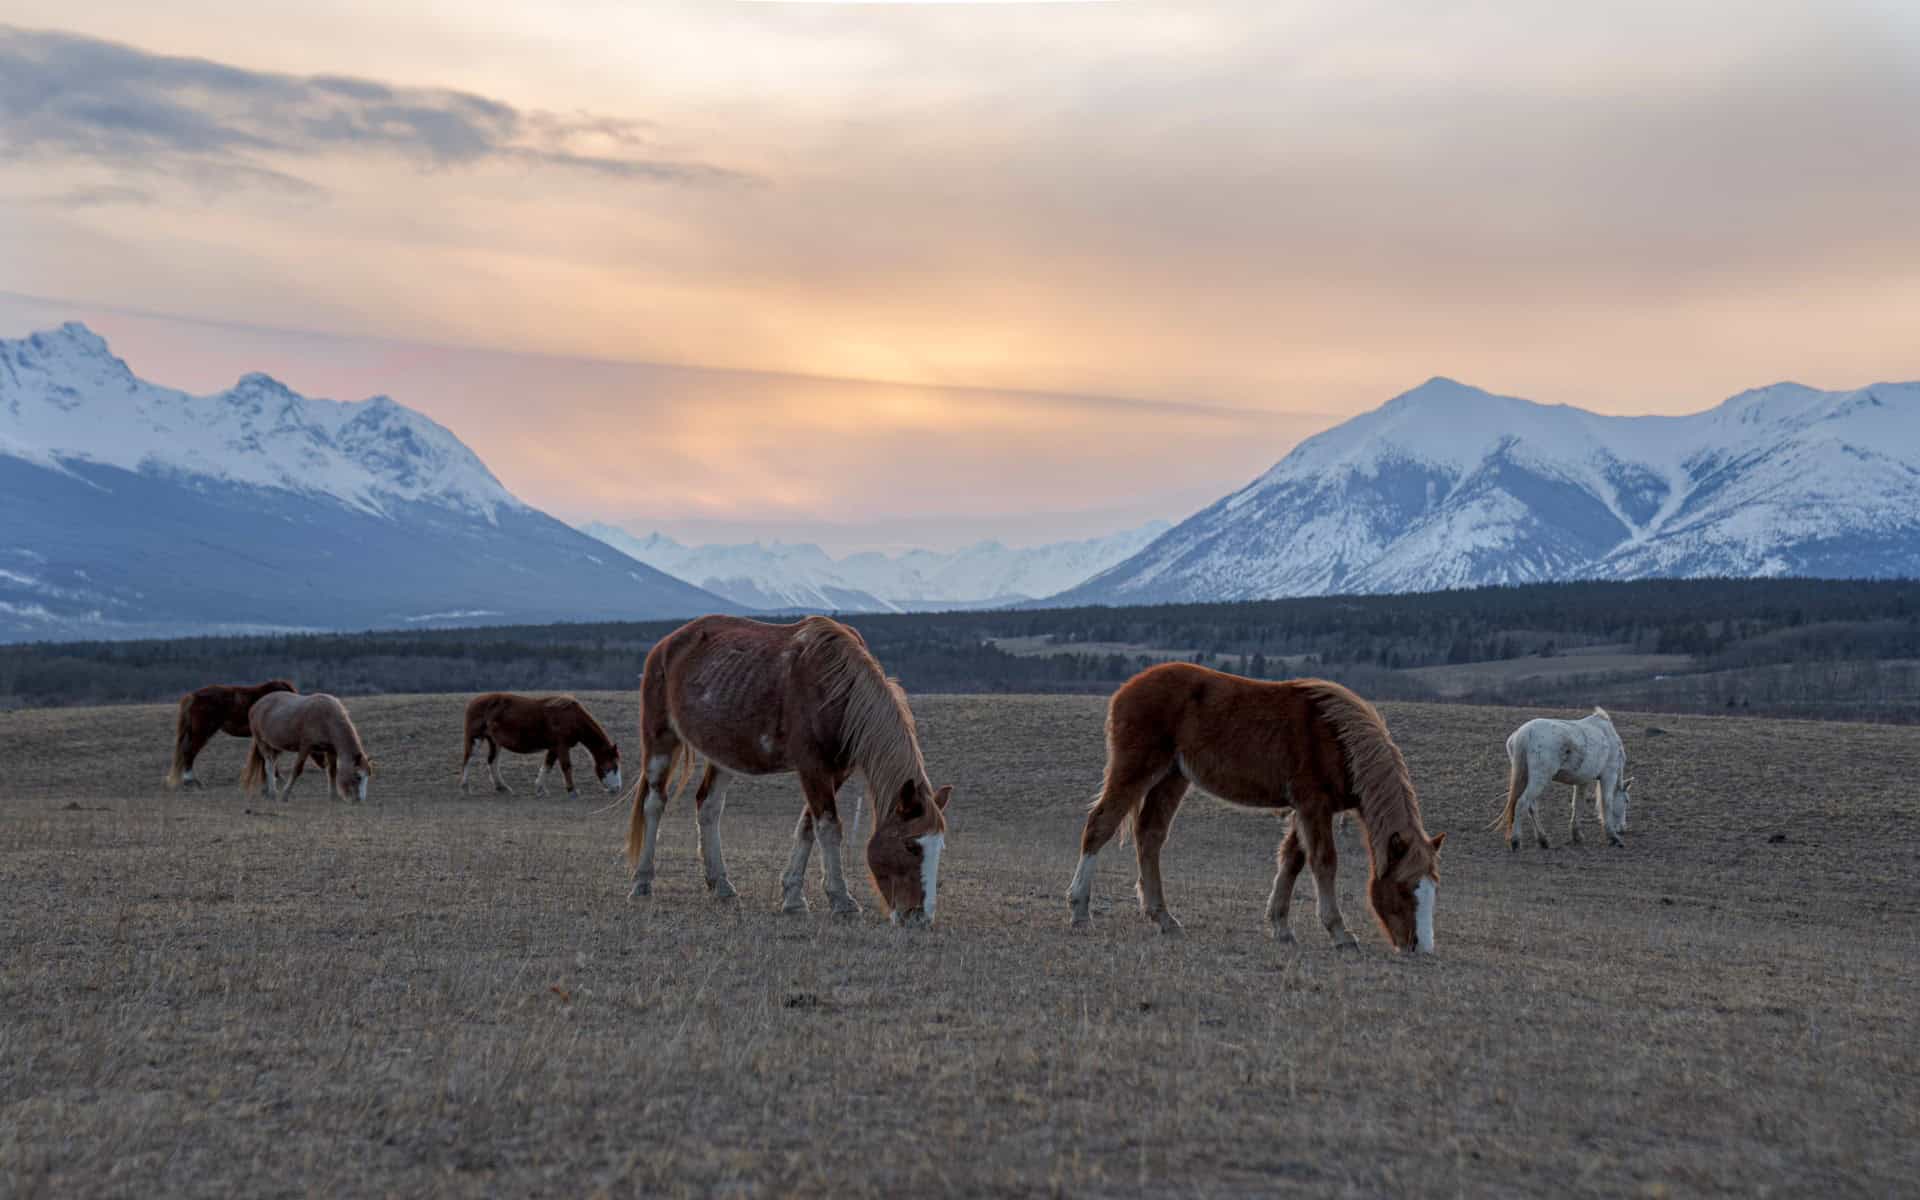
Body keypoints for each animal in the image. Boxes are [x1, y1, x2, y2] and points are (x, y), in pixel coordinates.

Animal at [240, 687, 374, 798]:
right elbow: (297, 769)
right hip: (262, 743)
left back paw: (268, 791)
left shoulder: (331, 749)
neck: (326, 717)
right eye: (358, 776)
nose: (359, 800)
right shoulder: (305, 747)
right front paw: (285, 794)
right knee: (269, 765)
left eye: (368, 776)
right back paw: (273, 793)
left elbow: (332, 771)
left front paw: (334, 796)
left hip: (275, 746)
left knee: (269, 764)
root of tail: (256, 706)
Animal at [458, 691, 622, 794]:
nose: (617, 789)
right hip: (475, 738)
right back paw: (465, 786)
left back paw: (502, 787)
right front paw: (572, 790)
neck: (572, 718)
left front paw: (540, 788)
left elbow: (548, 765)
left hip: (494, 742)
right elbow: (566, 766)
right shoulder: (562, 746)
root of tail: (473, 702)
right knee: (468, 759)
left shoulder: (554, 748)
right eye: (612, 767)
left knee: (492, 762)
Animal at [625, 618, 956, 925]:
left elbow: (808, 826)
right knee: (654, 803)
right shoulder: (812, 767)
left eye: (940, 846)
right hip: (660, 738)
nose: (919, 917)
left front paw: (793, 896)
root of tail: (666, 644)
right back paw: (642, 881)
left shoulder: (836, 772)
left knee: (708, 807)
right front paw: (841, 899)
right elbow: (829, 828)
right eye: (910, 846)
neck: (837, 689)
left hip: (722, 754)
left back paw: (720, 884)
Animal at [1067, 660, 1443, 948]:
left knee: (1150, 835)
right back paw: (1079, 910)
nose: (1419, 947)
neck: (1339, 739)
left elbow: (1292, 861)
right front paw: (1339, 932)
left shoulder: (1304, 811)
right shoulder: (1313, 806)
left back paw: (1163, 917)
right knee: (1100, 825)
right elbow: (1323, 862)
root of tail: (1127, 688)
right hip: (1136, 770)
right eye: (1406, 889)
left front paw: (1281, 926)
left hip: (1173, 777)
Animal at [1497, 706, 1635, 848]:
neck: (1607, 735)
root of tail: (1524, 733)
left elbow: (1578, 804)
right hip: (1539, 779)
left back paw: (1543, 840)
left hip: (1527, 778)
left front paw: (1577, 835)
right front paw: (1613, 837)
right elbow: (1606, 802)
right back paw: (1516, 841)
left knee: (1531, 807)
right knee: (1522, 803)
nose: (1623, 828)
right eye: (1626, 801)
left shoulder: (1582, 780)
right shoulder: (1609, 774)